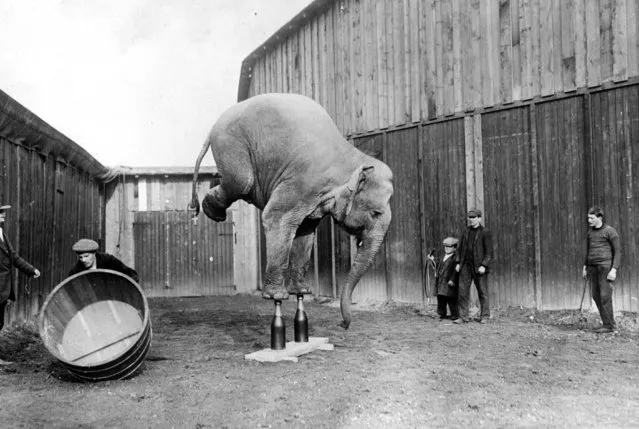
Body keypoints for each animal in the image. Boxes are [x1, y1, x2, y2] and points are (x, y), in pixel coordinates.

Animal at [188, 93, 392, 328]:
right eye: (375, 213)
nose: (343, 324)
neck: (351, 157)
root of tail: (213, 126)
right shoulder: (301, 182)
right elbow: (276, 218)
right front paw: (277, 296)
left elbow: (305, 231)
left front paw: (302, 291)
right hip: (231, 144)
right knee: (242, 182)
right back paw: (213, 212)